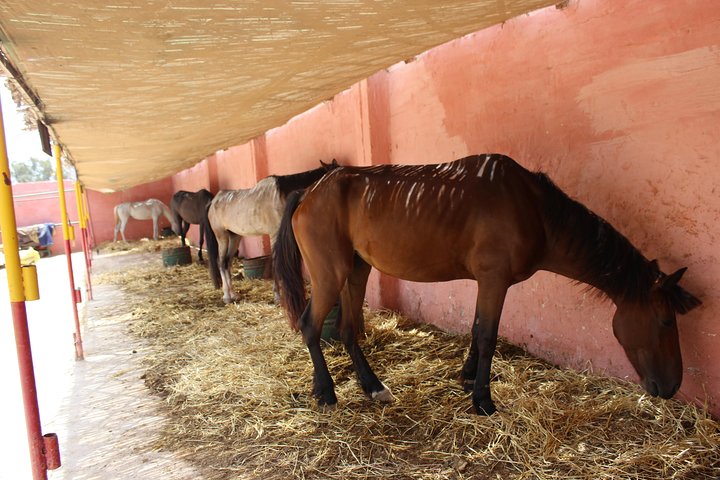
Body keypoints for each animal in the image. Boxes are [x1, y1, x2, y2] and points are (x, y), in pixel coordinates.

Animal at [204, 159, 338, 303]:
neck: (280, 195)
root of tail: (213, 201)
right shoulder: (275, 234)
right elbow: (276, 261)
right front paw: (278, 296)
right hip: (221, 236)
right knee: (221, 262)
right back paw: (227, 296)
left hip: (234, 236)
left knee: (227, 262)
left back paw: (233, 294)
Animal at [272, 153, 701, 415]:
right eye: (665, 321)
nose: (671, 386)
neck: (533, 208)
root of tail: (308, 191)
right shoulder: (495, 281)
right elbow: (487, 336)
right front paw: (482, 400)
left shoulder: (487, 282)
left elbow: (478, 329)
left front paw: (466, 379)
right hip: (330, 274)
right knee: (310, 325)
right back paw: (326, 392)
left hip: (356, 271)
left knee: (347, 330)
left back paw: (372, 387)